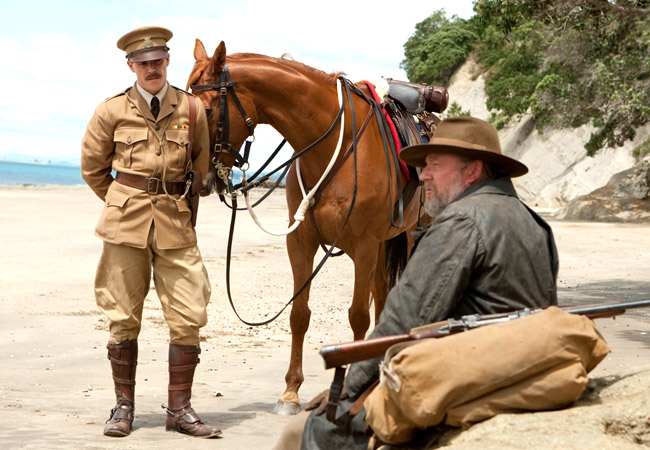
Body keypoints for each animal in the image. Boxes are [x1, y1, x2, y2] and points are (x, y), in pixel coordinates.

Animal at [187, 40, 426, 414]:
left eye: (208, 111)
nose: (197, 176)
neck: (333, 144)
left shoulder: (363, 246)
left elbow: (357, 316)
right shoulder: (300, 242)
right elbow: (299, 315)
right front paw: (290, 392)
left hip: (412, 233)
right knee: (383, 295)